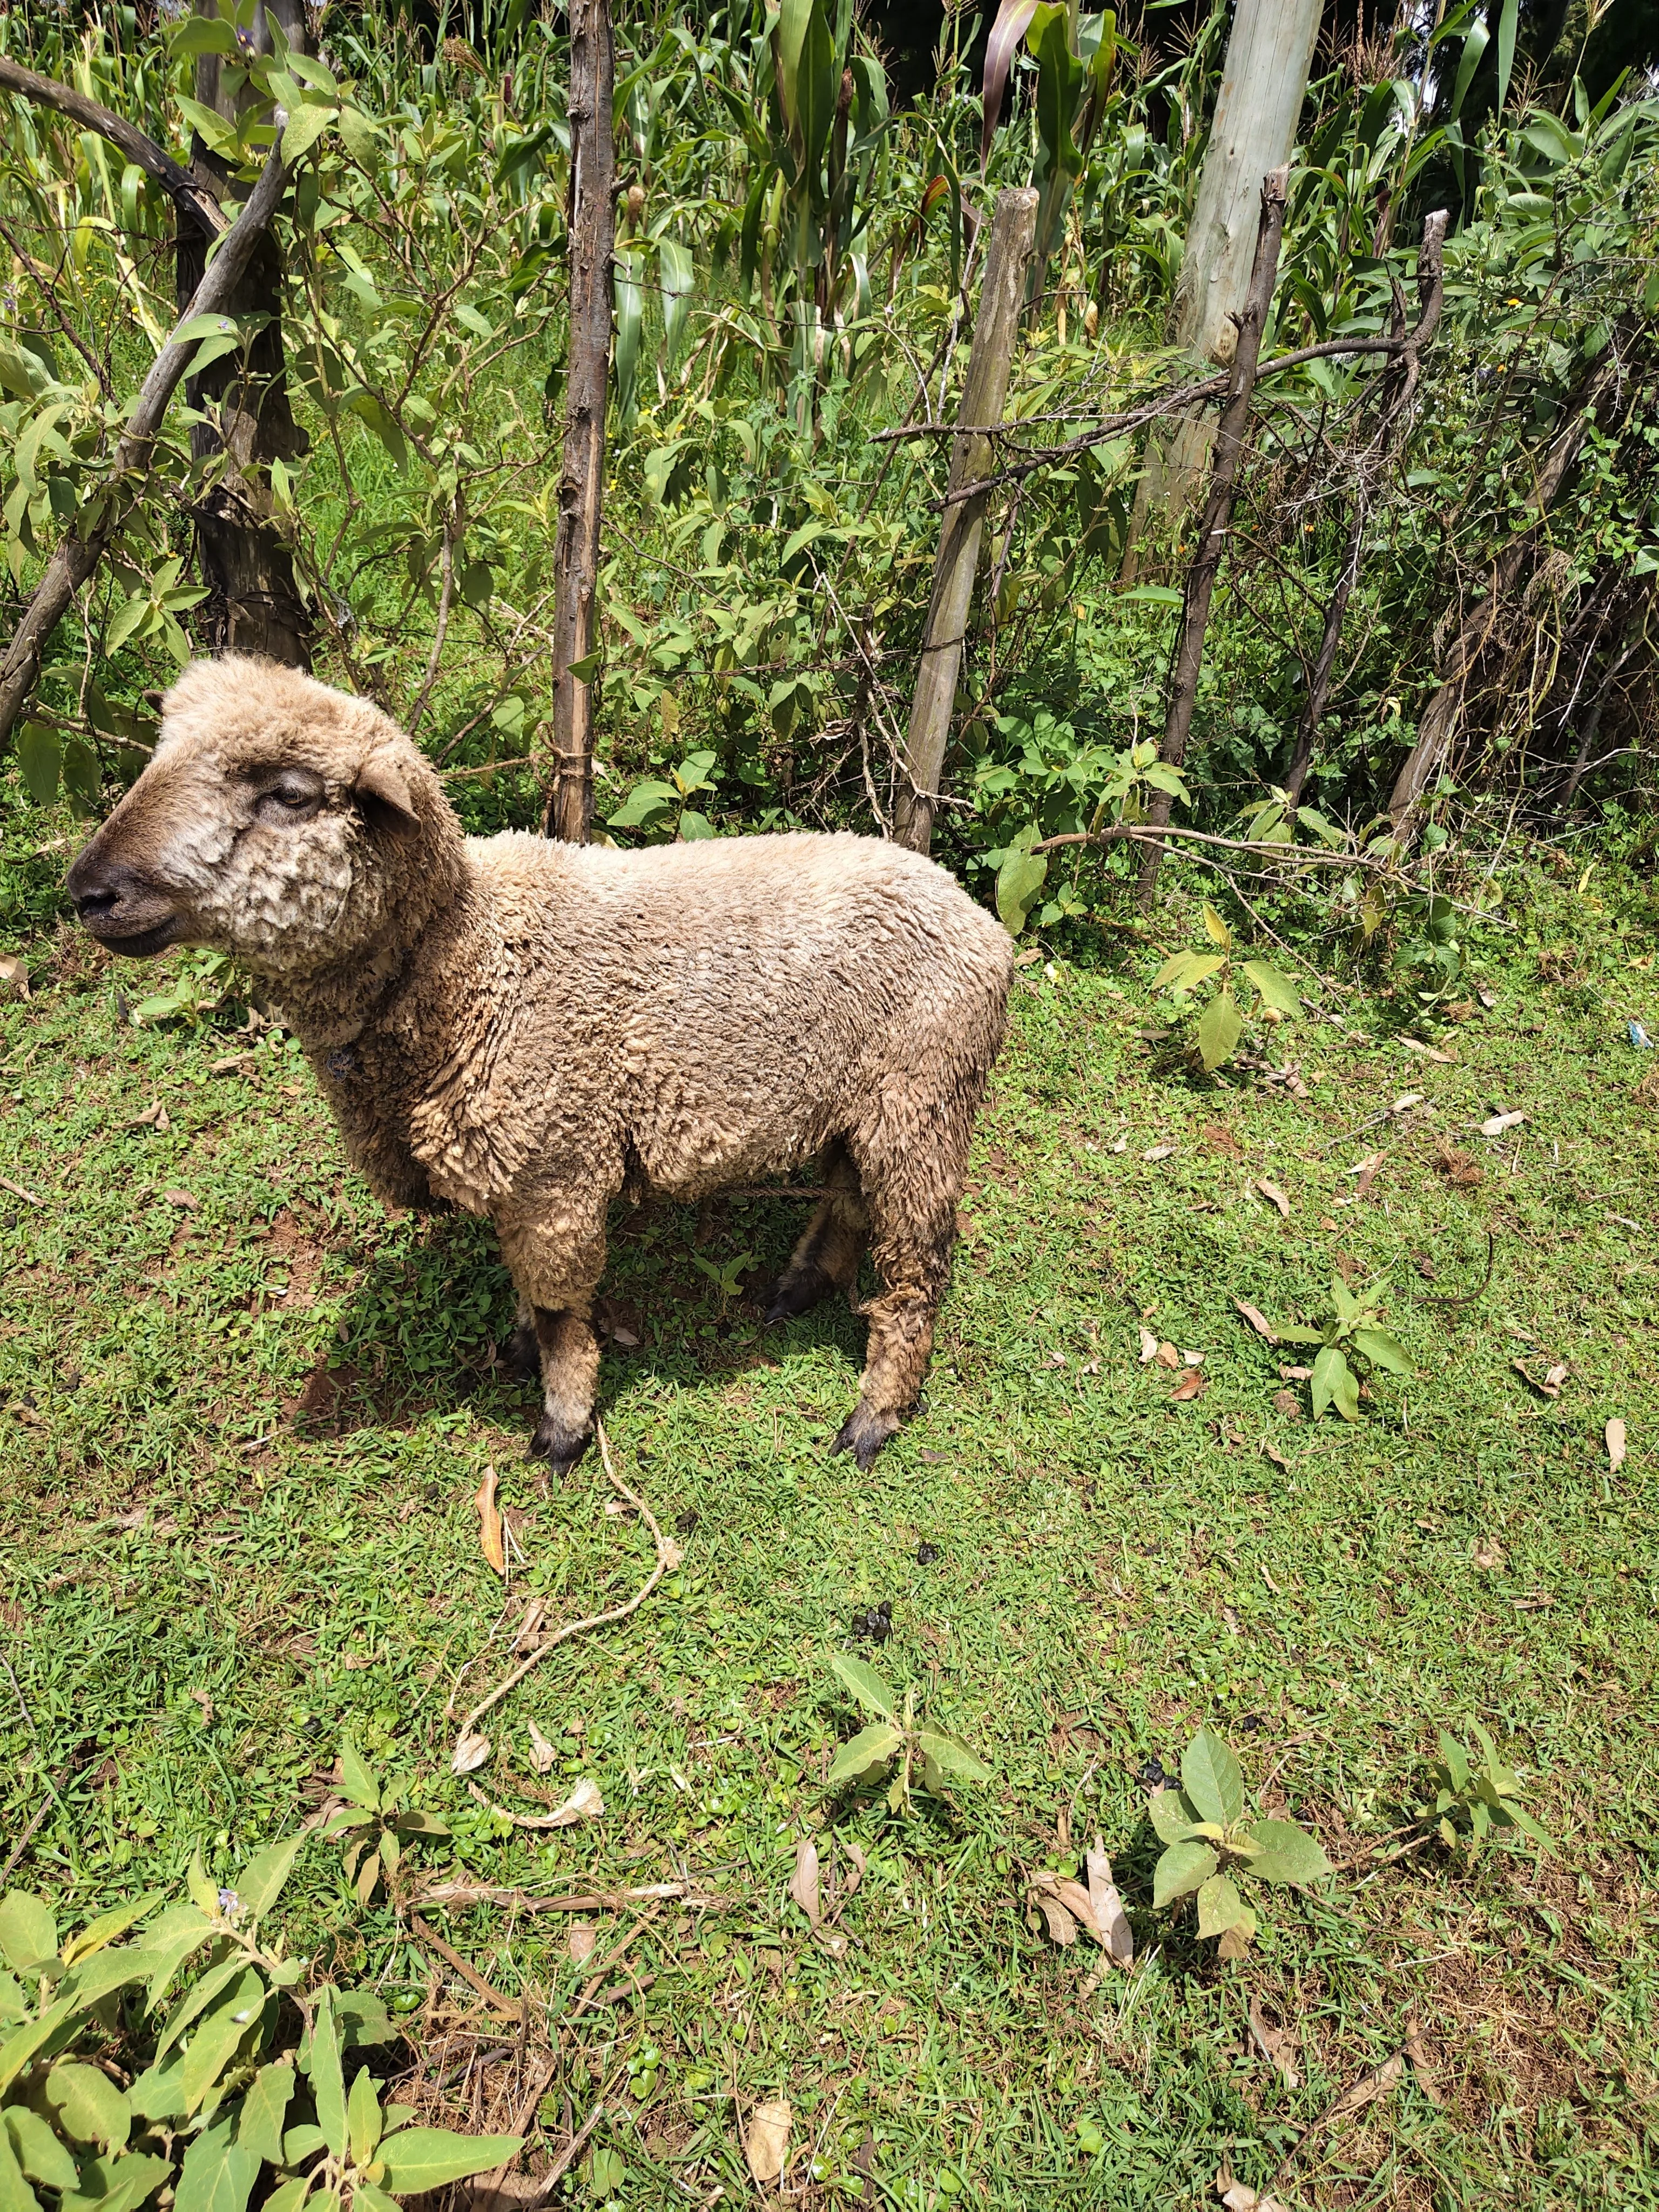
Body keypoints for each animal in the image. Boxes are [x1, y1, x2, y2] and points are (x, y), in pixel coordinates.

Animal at [67, 656, 1014, 1470]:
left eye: (290, 795)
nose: (89, 892)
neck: (469, 964)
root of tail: (981, 921)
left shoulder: (558, 1167)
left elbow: (563, 1311)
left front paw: (561, 1424)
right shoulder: (511, 1167)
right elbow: (520, 1277)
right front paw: (520, 1346)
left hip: (925, 1099)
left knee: (917, 1267)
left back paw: (876, 1413)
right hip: (868, 1103)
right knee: (850, 1198)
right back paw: (800, 1288)